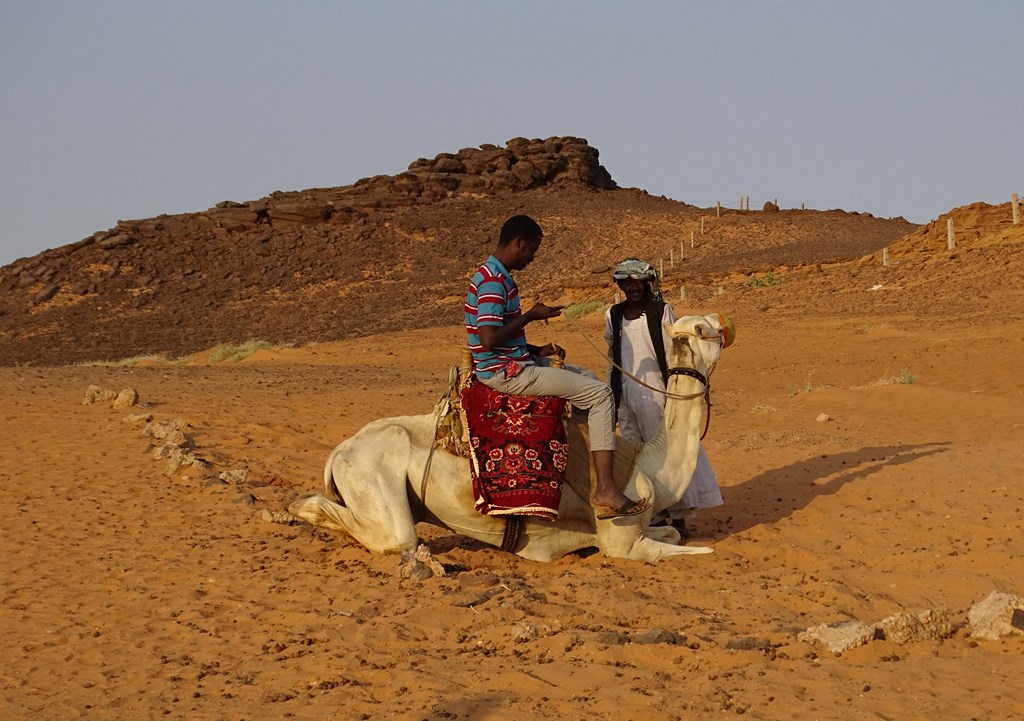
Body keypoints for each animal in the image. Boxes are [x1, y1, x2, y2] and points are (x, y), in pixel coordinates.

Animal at [284, 313, 724, 561]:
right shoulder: (622, 543)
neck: (651, 464)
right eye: (706, 329)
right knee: (390, 534)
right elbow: (697, 550)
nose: (724, 323)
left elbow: (672, 531)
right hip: (372, 477)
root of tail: (338, 452)